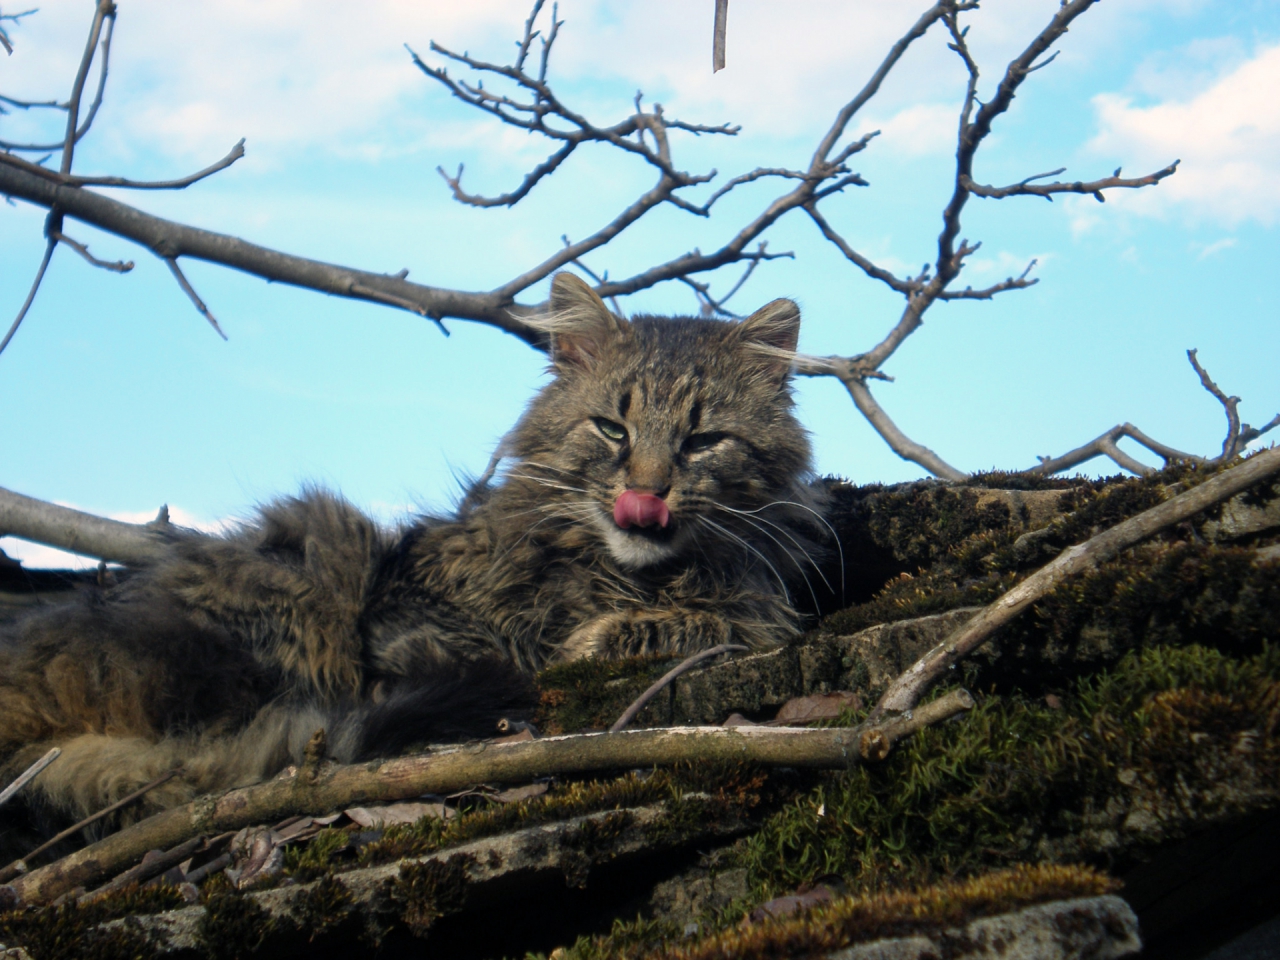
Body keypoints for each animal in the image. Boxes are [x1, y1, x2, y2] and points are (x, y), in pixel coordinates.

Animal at [0, 273, 819, 844]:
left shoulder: (757, 604)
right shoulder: (412, 618)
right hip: (317, 559)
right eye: (612, 430)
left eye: (702, 441)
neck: (622, 572)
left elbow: (716, 619)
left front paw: (612, 633)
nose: (646, 495)